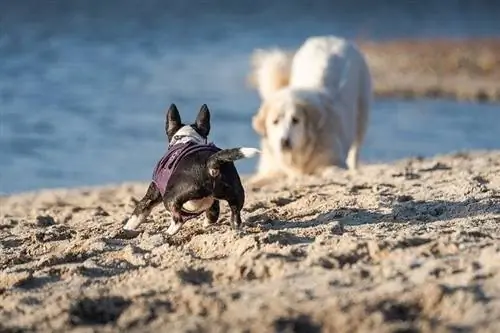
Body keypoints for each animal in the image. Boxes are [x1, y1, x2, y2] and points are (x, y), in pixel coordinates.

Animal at [123, 104, 260, 236]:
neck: (186, 138)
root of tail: (210, 164)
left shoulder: (151, 195)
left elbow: (137, 215)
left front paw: (126, 229)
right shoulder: (214, 205)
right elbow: (212, 216)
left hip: (169, 198)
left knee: (178, 220)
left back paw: (167, 233)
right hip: (236, 195)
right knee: (235, 216)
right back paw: (238, 231)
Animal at [248, 36, 374, 184]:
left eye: (295, 120)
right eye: (275, 122)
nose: (284, 142)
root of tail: (331, 38)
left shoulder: (334, 160)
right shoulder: (272, 166)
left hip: (362, 114)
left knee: (356, 149)